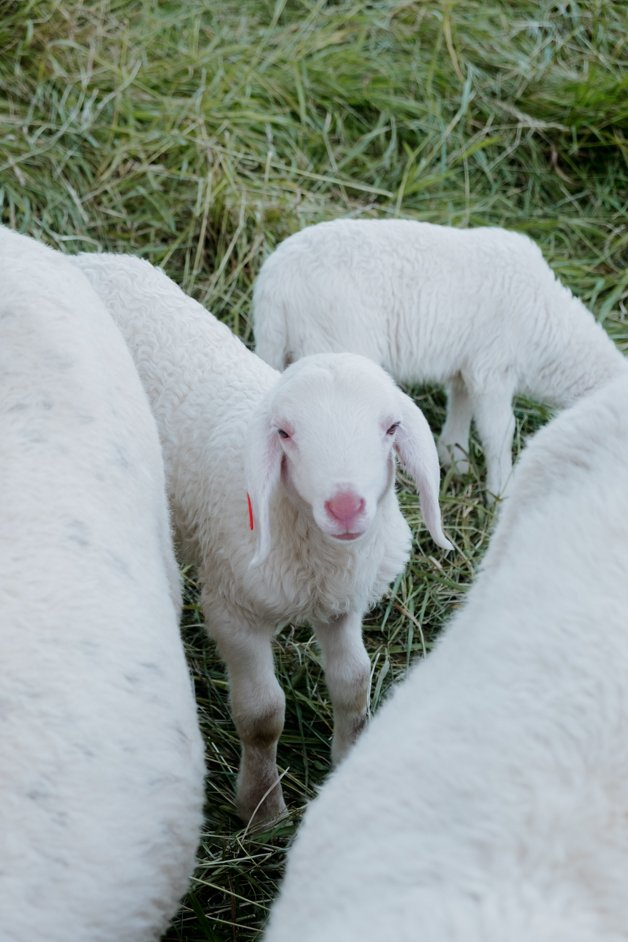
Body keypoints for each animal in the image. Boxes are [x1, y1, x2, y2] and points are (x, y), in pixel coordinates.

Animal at [68, 251, 452, 824]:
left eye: (390, 428)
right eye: (285, 433)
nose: (345, 506)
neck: (314, 553)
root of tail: (89, 257)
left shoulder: (342, 600)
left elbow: (354, 685)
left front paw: (345, 761)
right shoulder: (235, 612)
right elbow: (263, 714)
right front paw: (262, 809)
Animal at [253, 219, 624, 502]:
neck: (548, 327)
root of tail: (274, 282)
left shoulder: (467, 366)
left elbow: (460, 404)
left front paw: (454, 458)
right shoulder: (493, 366)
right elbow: (499, 430)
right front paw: (500, 492)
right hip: (335, 339)